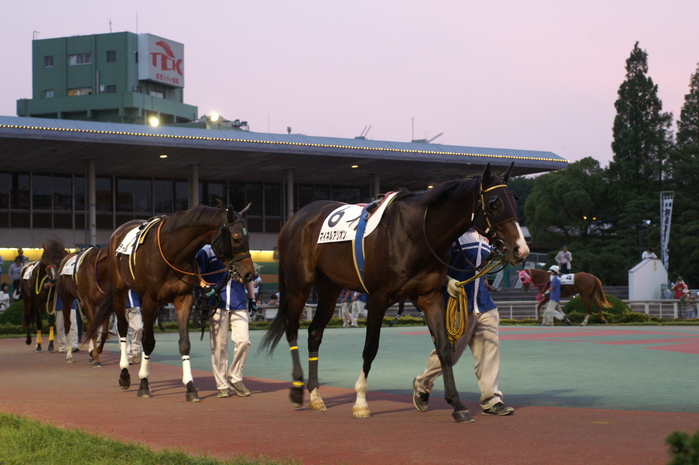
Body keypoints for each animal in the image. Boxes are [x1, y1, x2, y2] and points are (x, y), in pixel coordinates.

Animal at [87, 205, 258, 400]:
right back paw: (124, 374)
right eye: (236, 238)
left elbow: (184, 343)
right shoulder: (149, 300)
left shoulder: (183, 299)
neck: (172, 253)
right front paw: (143, 384)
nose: (249, 274)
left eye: (248, 237)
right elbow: (148, 341)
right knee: (123, 328)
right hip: (119, 291)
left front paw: (190, 387)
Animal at [262, 163, 532, 420]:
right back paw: (297, 389)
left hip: (329, 288)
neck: (416, 232)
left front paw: (457, 405)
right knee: (292, 328)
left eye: (515, 200)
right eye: (494, 204)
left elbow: (444, 349)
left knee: (314, 333)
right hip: (300, 285)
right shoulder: (377, 298)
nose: (521, 249)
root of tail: (295, 218)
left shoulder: (430, 296)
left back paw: (316, 396)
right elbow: (370, 348)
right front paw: (361, 402)